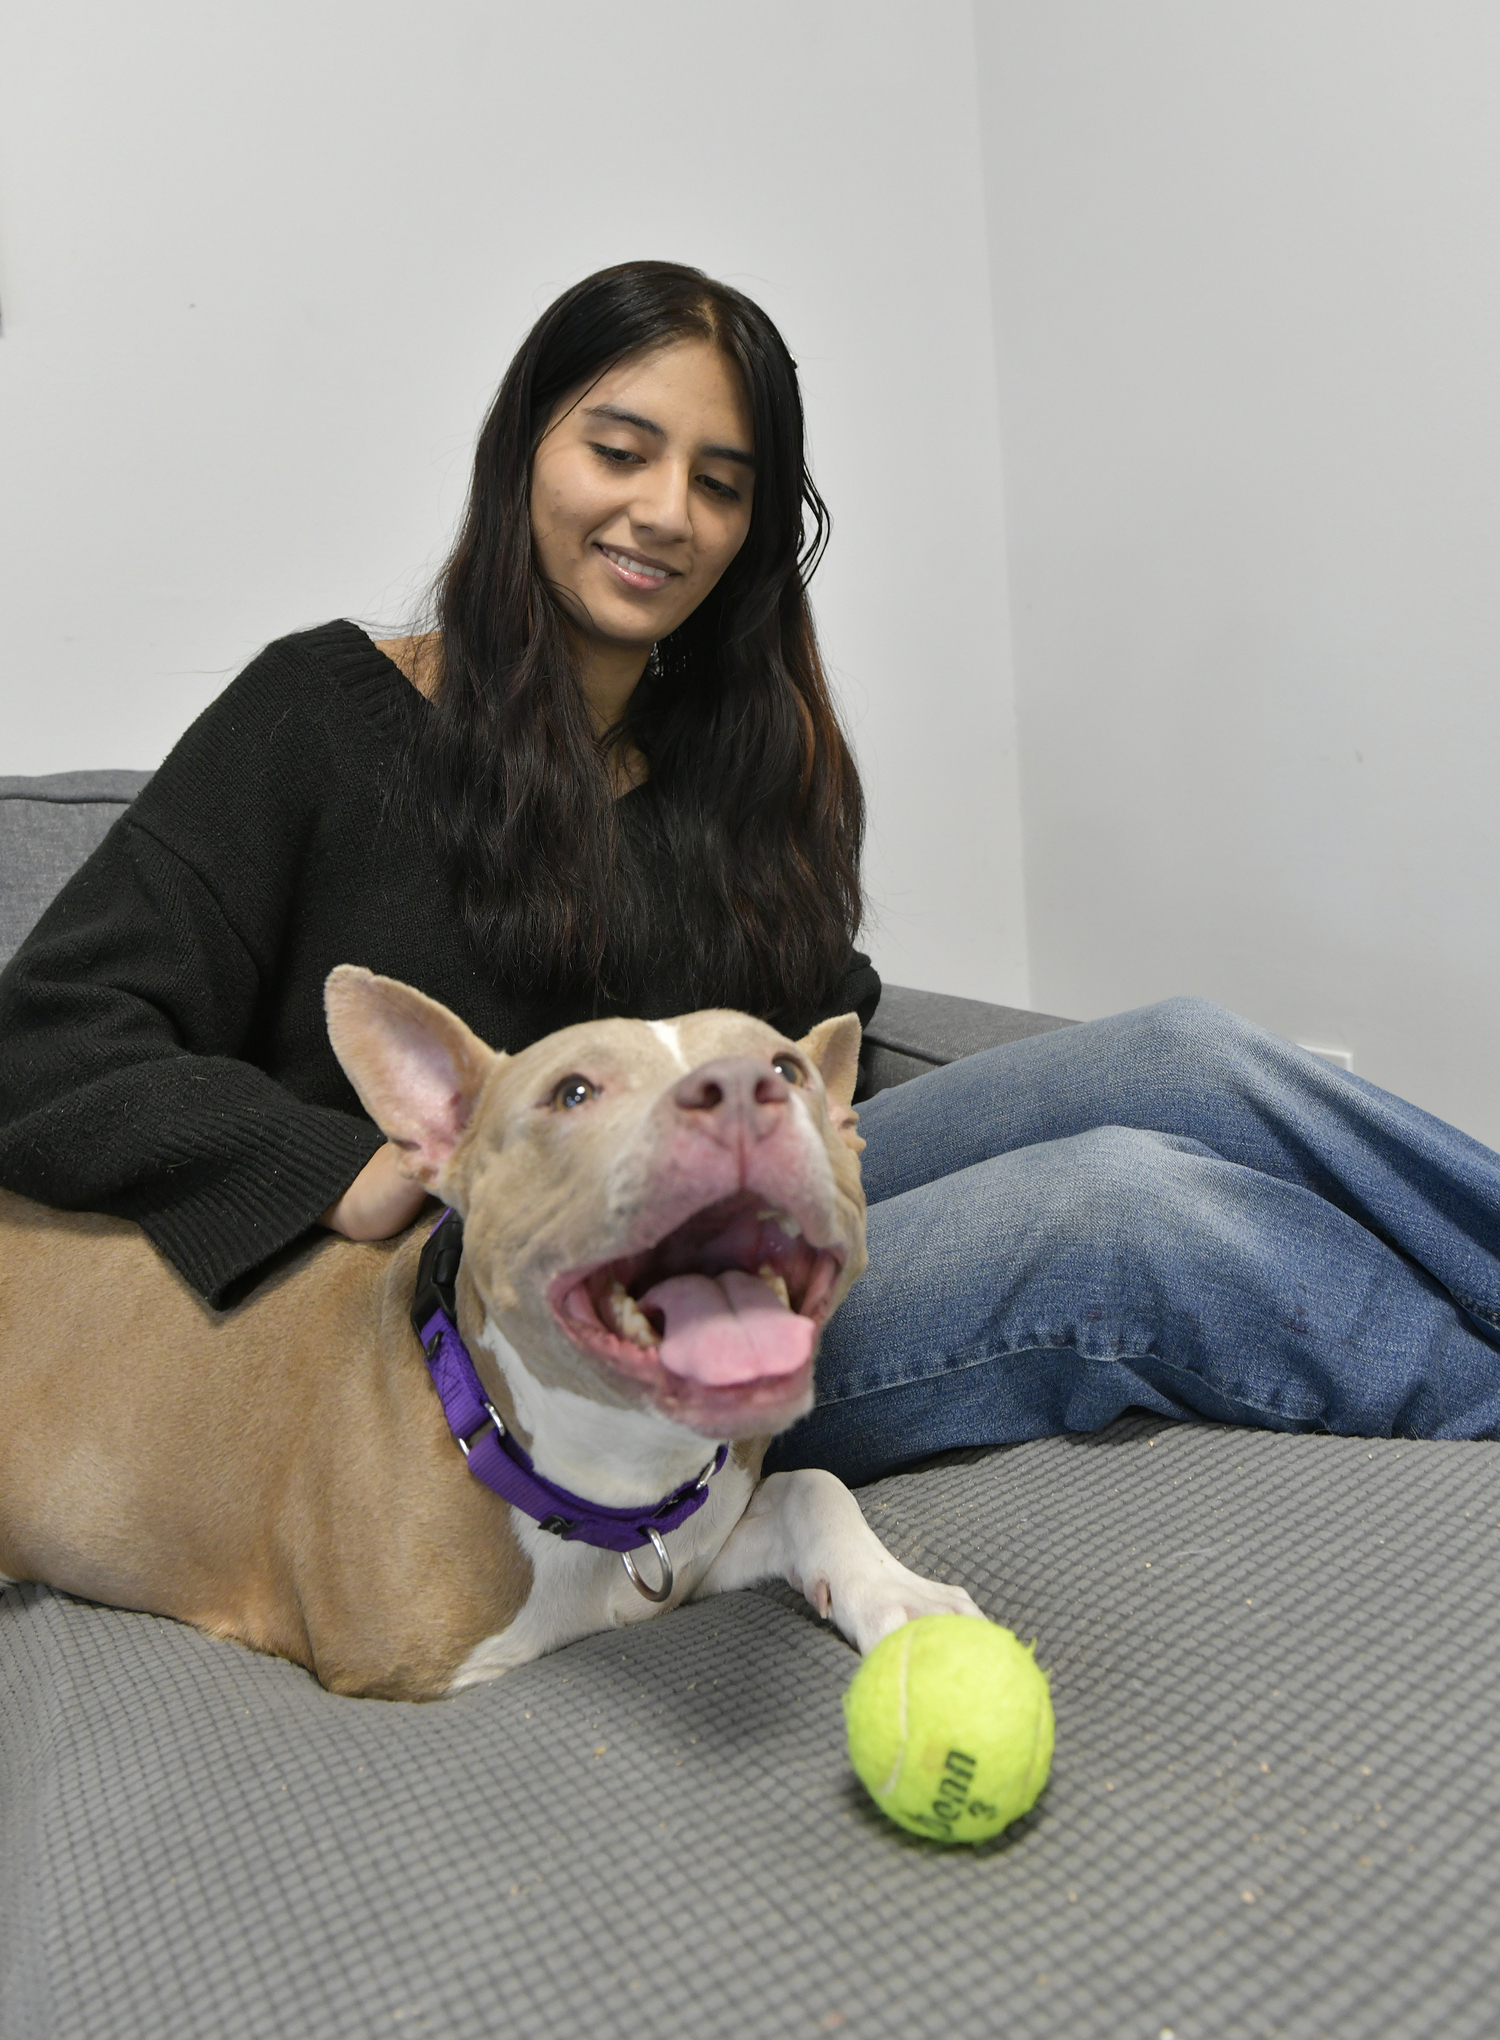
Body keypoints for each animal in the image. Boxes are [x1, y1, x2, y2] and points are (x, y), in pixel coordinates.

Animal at [0, 962, 979, 1697]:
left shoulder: (696, 1550)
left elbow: (814, 1485)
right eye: (572, 1092)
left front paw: (899, 1596)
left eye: (787, 1068)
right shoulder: (413, 1661)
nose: (741, 1089)